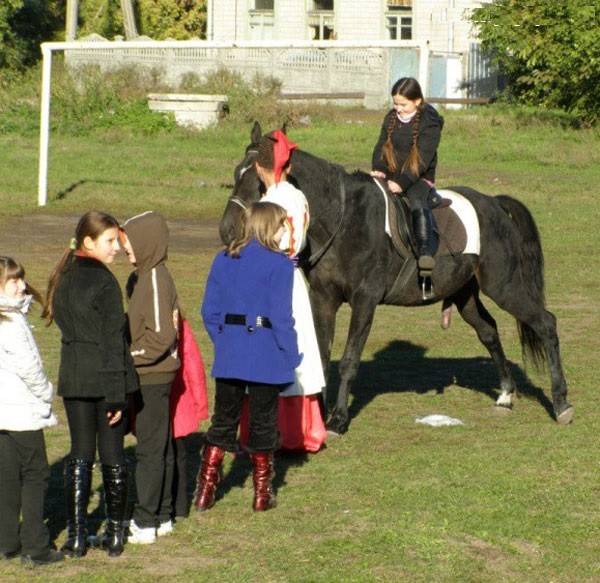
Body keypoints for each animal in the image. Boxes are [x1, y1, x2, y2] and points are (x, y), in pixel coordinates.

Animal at [219, 122, 572, 434]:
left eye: (262, 183)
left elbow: (349, 359)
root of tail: (494, 204)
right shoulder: (323, 299)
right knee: (489, 332)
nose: (228, 230)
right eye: (236, 173)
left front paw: (338, 420)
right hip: (465, 293)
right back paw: (505, 395)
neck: (345, 220)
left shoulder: (365, 300)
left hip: (504, 286)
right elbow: (322, 355)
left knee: (545, 323)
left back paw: (561, 404)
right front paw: (317, 415)